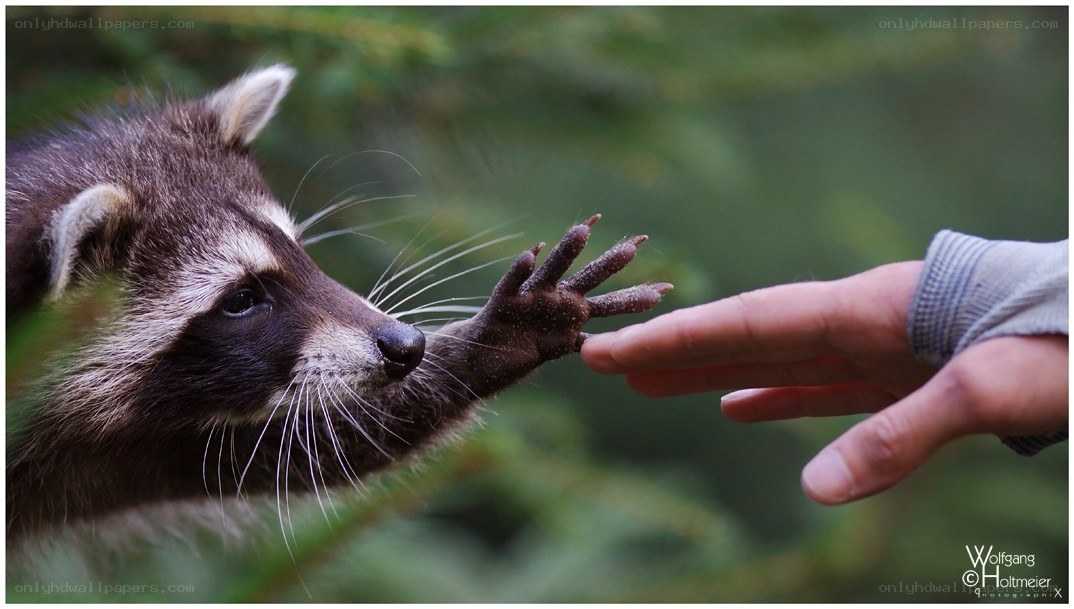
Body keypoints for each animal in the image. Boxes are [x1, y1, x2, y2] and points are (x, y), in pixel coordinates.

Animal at [6, 65, 671, 541]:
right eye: (241, 299)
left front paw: (496, 339)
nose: (408, 346)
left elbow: (289, 448)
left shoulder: (123, 452)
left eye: (297, 251)